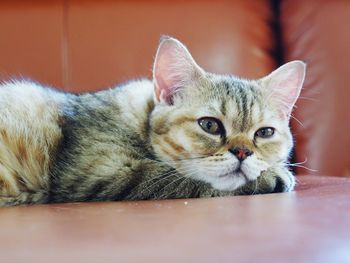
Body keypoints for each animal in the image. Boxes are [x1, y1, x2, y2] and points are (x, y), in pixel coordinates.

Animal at [0, 36, 304, 206]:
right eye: (209, 125)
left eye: (264, 133)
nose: (242, 152)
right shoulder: (103, 172)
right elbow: (185, 179)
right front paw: (274, 176)